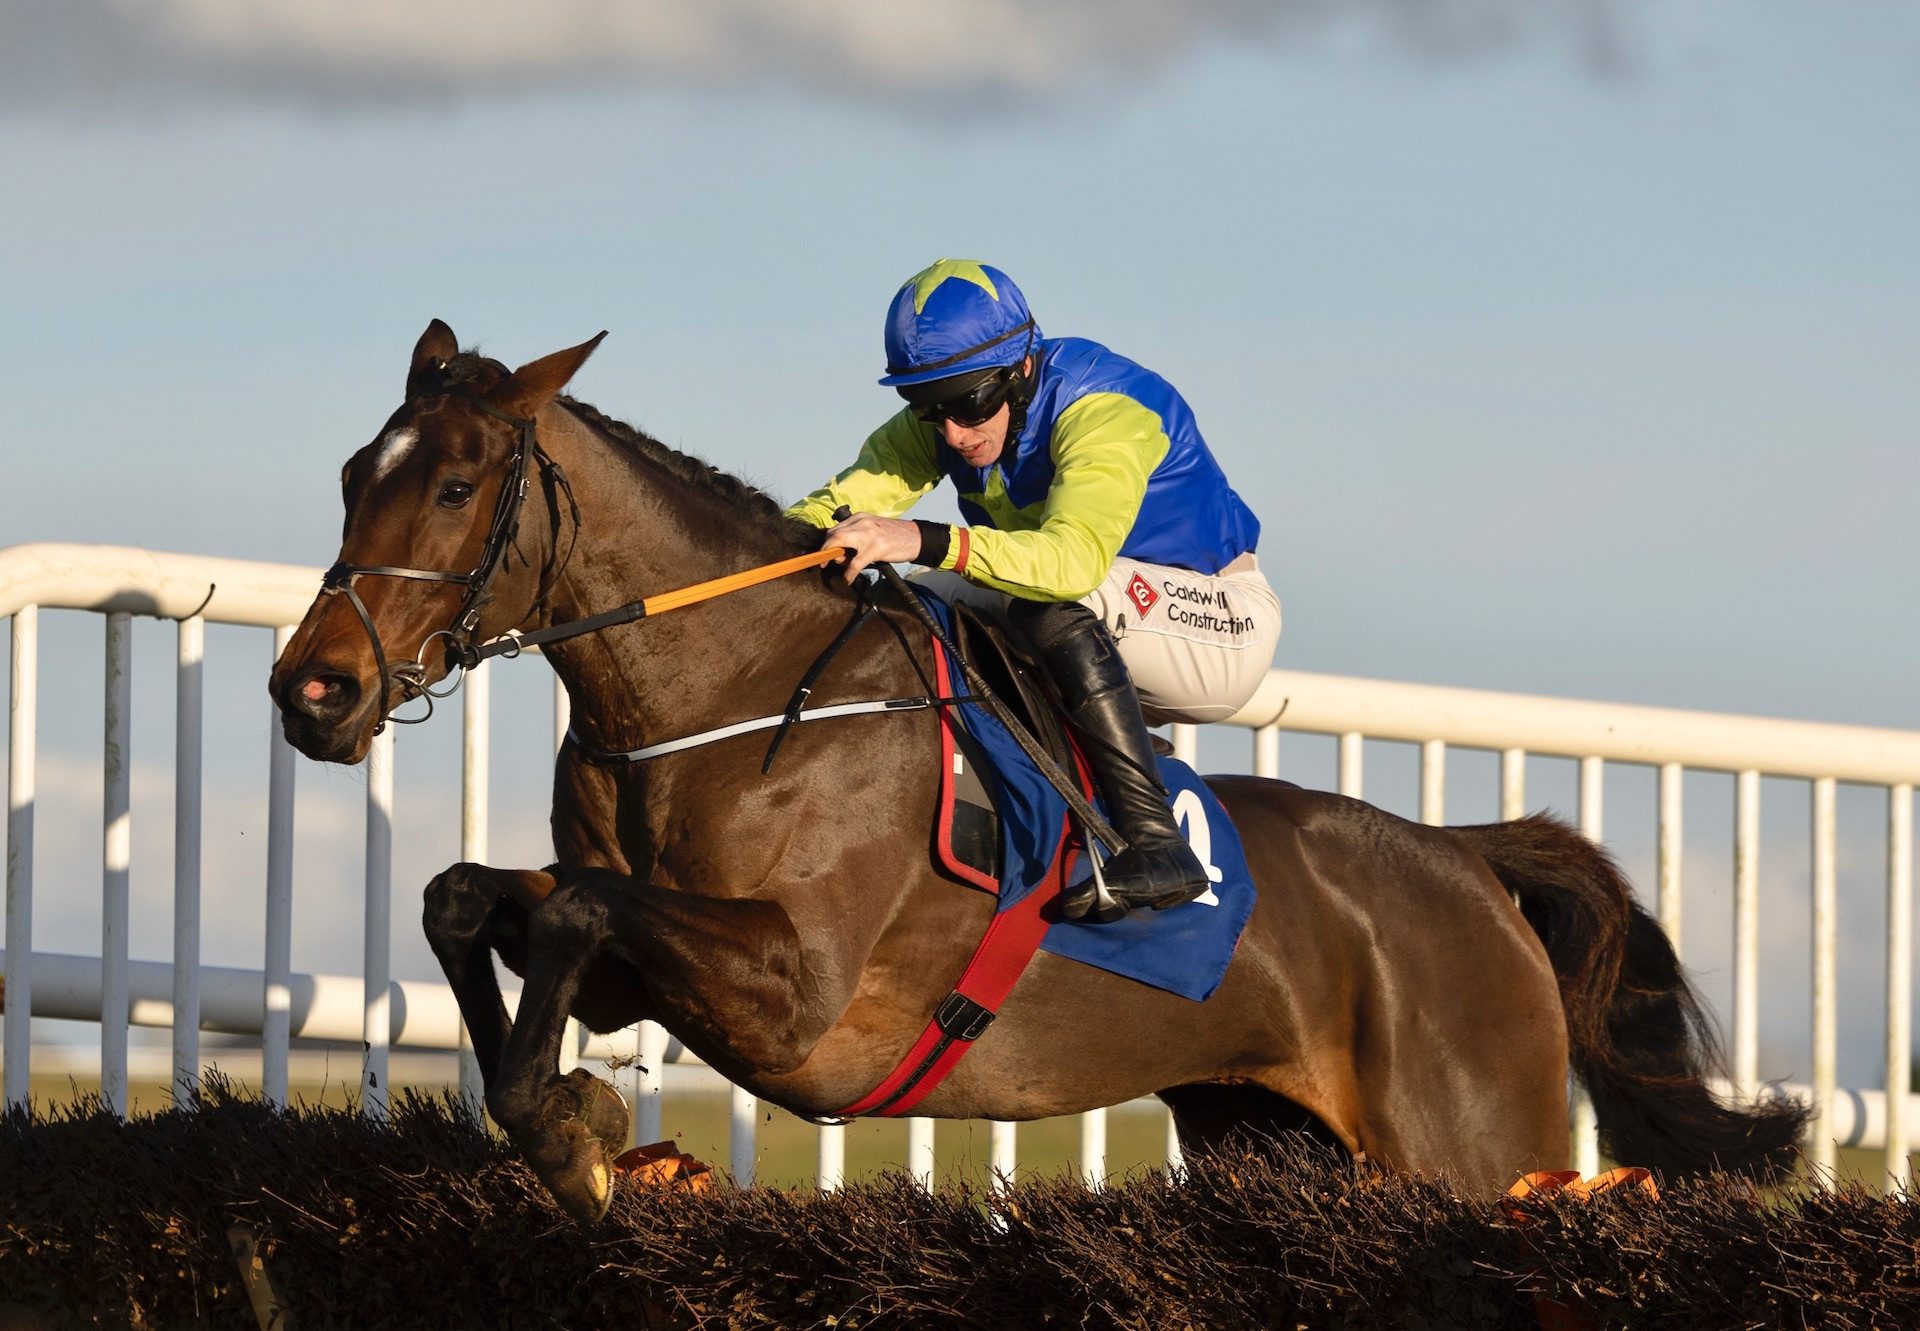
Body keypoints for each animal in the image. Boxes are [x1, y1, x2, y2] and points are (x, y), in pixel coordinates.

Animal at [266, 324, 1797, 1221]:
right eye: (349, 472)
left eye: (456, 483)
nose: (311, 688)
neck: (733, 695)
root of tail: (1471, 859)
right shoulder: (656, 968)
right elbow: (472, 899)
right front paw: (571, 1118)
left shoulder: (797, 989)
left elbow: (573, 910)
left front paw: (575, 1126)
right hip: (1271, 1133)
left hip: (1475, 1147)